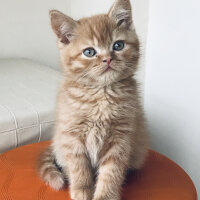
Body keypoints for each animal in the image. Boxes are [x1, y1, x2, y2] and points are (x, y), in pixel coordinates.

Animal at [38, 0, 148, 199]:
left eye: (118, 45)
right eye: (89, 52)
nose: (108, 59)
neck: (101, 95)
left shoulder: (121, 138)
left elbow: (112, 171)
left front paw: (105, 195)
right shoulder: (72, 135)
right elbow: (78, 165)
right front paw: (81, 189)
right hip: (60, 142)